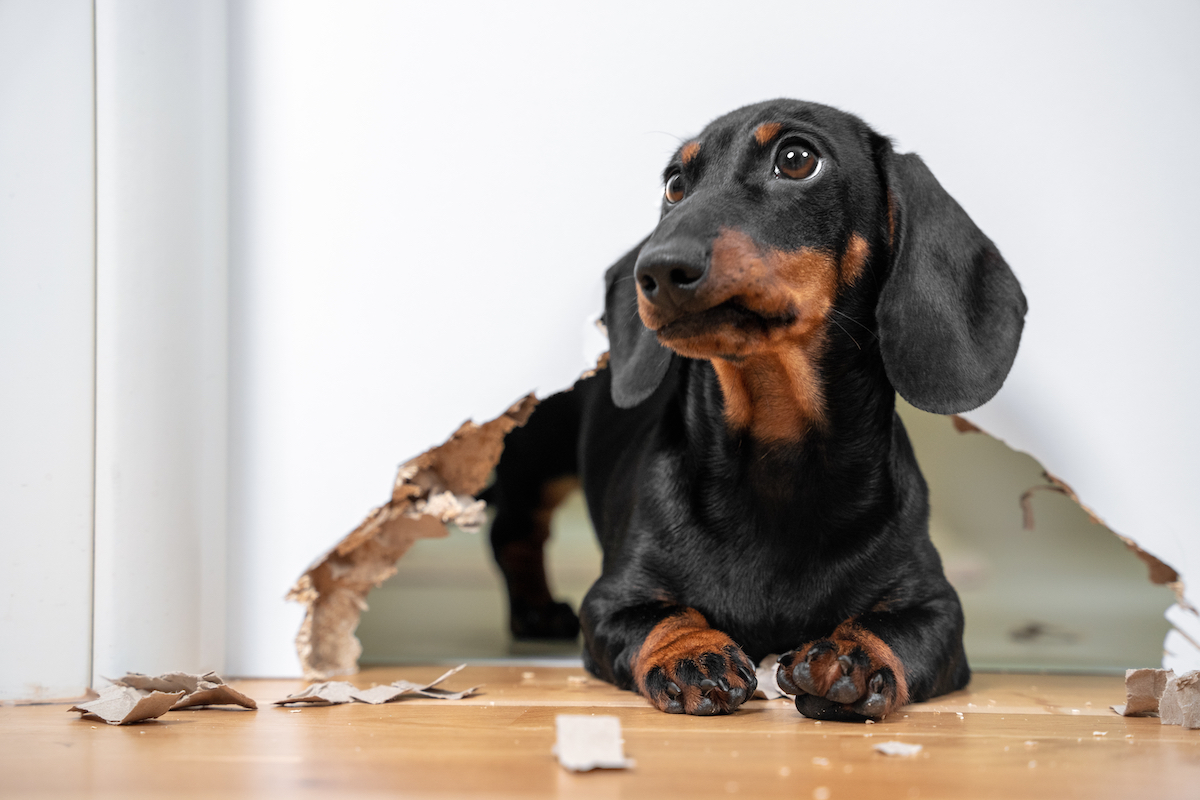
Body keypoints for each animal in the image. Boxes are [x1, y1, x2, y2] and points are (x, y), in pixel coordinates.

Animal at [482, 97, 1027, 724]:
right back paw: (536, 610)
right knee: (514, 530)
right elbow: (661, 616)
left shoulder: (938, 608)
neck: (777, 447)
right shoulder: (613, 600)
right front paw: (693, 652)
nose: (658, 269)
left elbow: (899, 629)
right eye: (674, 184)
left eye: (796, 159)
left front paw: (852, 656)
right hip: (537, 457)